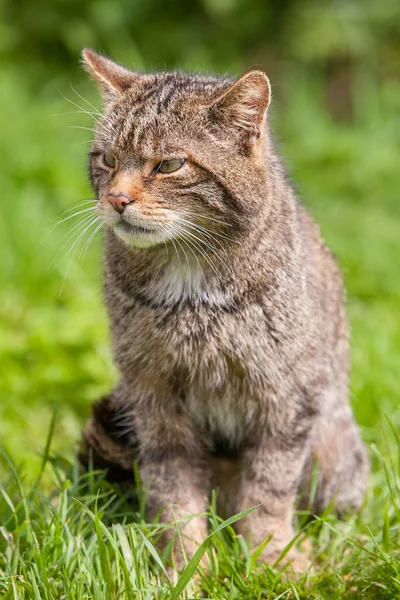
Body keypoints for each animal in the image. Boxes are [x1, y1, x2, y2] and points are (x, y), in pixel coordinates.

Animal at [79, 48, 368, 572]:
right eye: (107, 160)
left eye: (170, 164)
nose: (116, 199)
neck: (189, 285)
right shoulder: (153, 398)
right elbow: (174, 497)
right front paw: (184, 569)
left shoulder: (288, 395)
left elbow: (269, 490)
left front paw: (274, 561)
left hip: (336, 464)